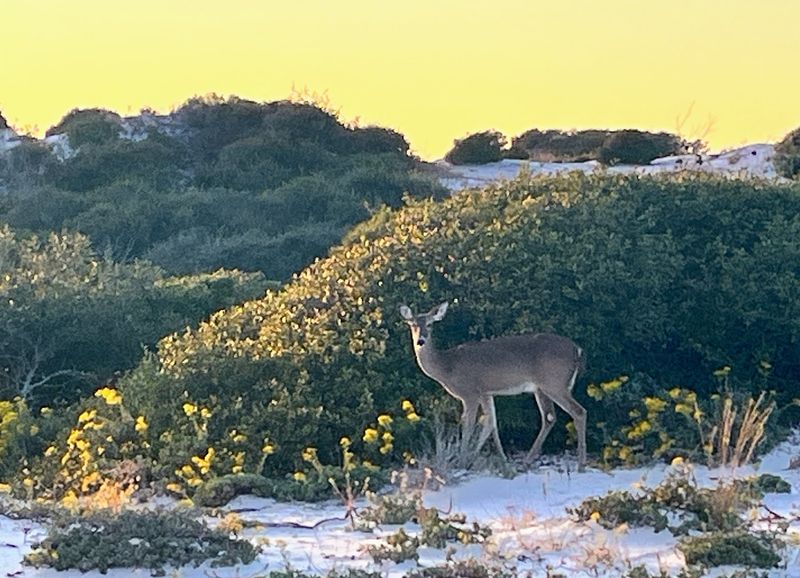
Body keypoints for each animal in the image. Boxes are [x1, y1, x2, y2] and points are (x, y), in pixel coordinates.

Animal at [399, 302, 587, 471]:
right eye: (413, 325)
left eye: (430, 325)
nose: (421, 341)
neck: (447, 367)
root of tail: (577, 350)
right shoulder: (486, 392)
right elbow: (491, 423)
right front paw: (499, 461)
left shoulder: (470, 393)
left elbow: (468, 425)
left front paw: (462, 462)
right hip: (541, 388)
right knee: (549, 417)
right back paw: (526, 463)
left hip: (554, 383)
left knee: (578, 411)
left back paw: (580, 465)